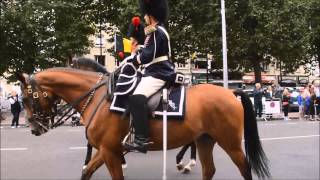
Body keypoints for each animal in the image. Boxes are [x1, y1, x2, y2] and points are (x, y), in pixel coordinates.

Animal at [17, 68, 270, 180]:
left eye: (27, 98)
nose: (34, 128)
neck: (97, 98)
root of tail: (229, 92)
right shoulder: (107, 150)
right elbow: (86, 172)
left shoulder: (109, 151)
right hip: (205, 139)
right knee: (209, 169)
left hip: (230, 142)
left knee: (244, 168)